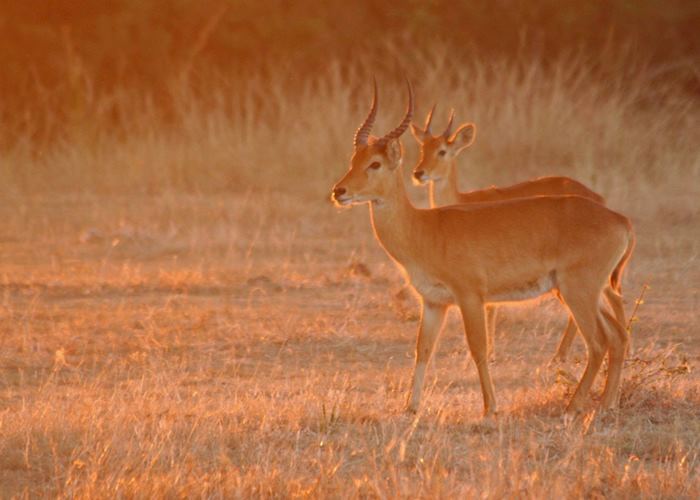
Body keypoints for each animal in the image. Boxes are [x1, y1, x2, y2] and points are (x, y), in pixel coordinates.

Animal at [410, 106, 608, 364]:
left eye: (442, 151)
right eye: (422, 148)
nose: (419, 173)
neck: (463, 200)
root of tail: (598, 199)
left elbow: (490, 307)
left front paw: (489, 353)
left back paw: (559, 356)